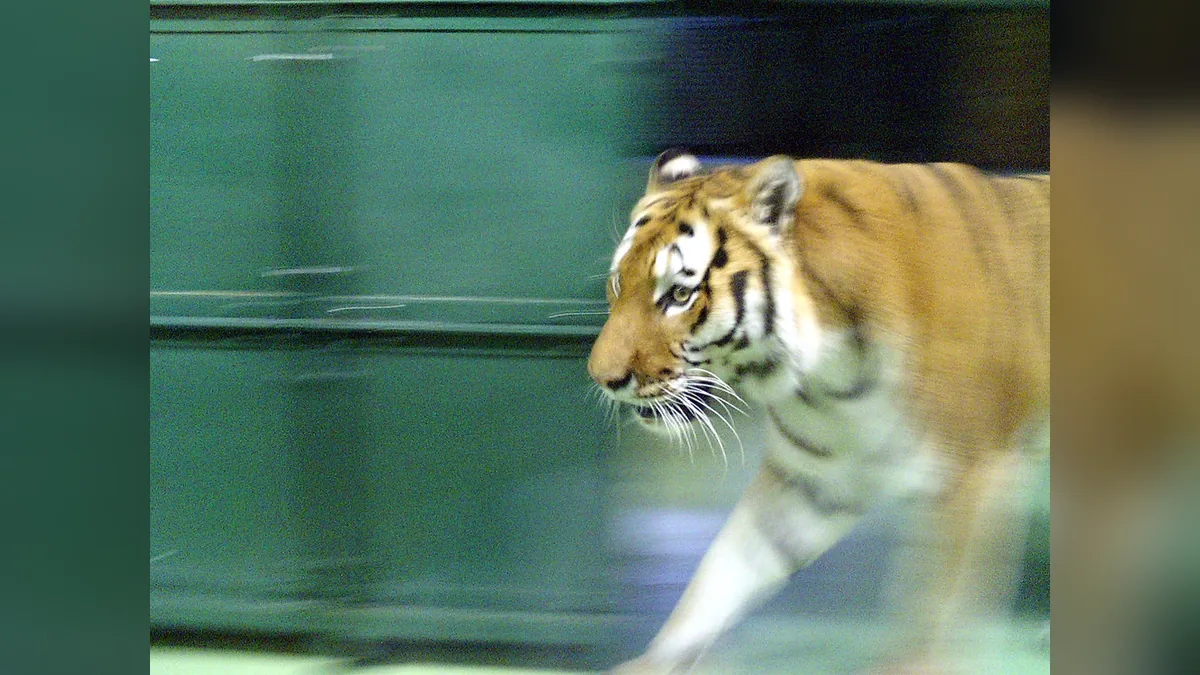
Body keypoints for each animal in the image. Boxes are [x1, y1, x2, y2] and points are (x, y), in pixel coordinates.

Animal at [588, 150, 1049, 674]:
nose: (602, 377)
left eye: (679, 296)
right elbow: (720, 575)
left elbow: (934, 617)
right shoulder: (813, 479)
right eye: (618, 283)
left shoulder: (973, 476)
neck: (829, 376)